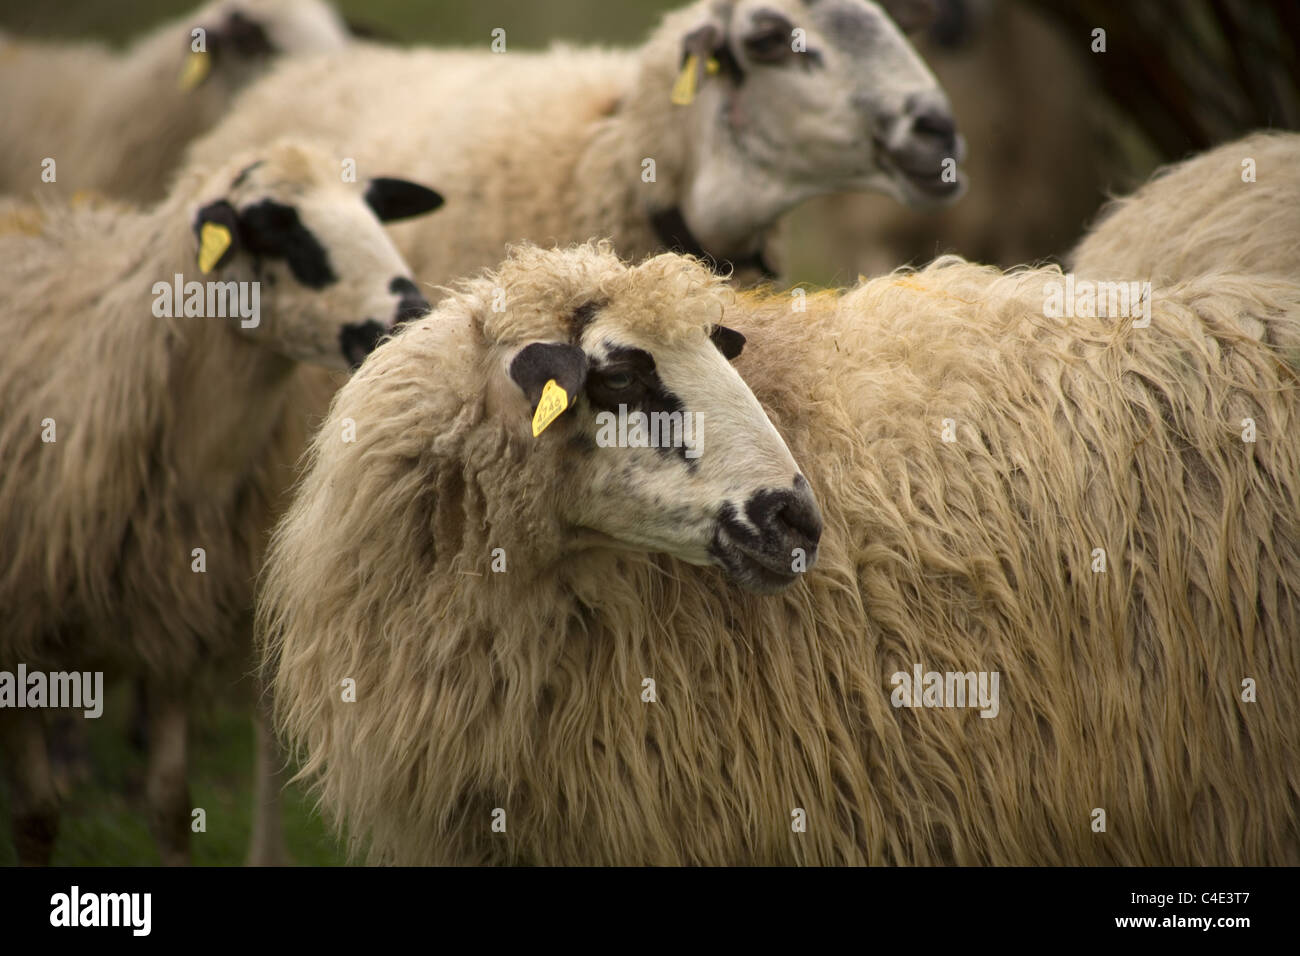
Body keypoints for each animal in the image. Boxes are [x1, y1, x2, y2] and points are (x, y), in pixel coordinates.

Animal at [0, 141, 447, 868]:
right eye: (273, 226)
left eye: (375, 208)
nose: (408, 314)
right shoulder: (16, 636)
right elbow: (36, 818)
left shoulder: (171, 621)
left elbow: (171, 803)